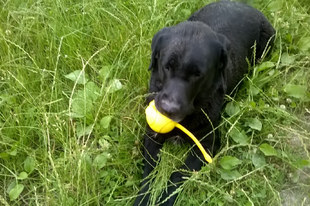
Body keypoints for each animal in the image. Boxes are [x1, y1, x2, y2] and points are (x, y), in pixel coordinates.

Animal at [134, 0, 274, 205]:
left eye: (197, 74)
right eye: (167, 66)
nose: (169, 110)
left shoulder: (207, 145)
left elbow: (177, 175)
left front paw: (164, 199)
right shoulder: (151, 135)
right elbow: (148, 175)